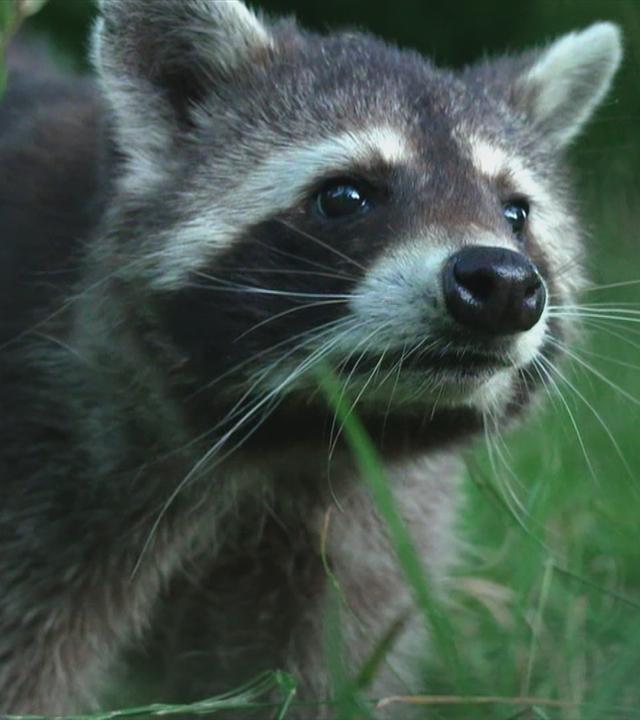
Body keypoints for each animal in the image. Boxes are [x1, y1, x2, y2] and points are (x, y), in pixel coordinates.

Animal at [0, 0, 620, 716]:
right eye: (345, 196)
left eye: (515, 211)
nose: (503, 285)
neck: (303, 435)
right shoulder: (54, 465)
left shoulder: (372, 529)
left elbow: (331, 673)